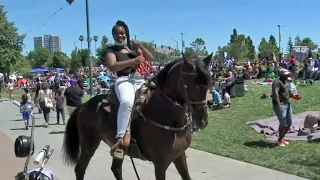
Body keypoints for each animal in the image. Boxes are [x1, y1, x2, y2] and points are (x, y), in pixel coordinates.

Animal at [62, 52, 212, 179]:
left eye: (208, 83)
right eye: (190, 84)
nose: (202, 121)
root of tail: (84, 105)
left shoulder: (179, 156)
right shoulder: (160, 163)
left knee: (116, 169)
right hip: (89, 144)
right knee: (80, 169)